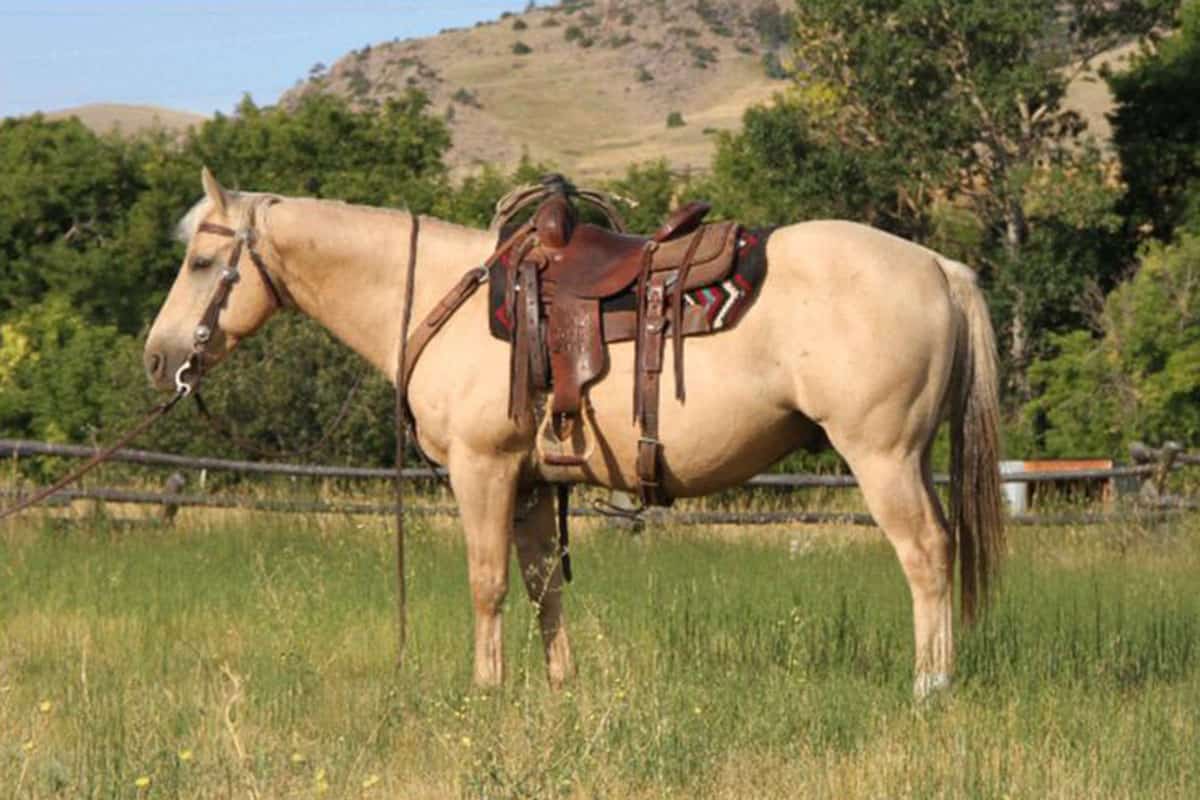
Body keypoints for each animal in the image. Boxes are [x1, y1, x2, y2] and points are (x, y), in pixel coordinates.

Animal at [144, 168, 1003, 699]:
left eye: (201, 263)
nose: (158, 358)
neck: (440, 298)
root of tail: (940, 267)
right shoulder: (531, 484)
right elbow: (541, 588)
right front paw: (562, 688)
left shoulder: (483, 470)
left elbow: (486, 583)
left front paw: (485, 691)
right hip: (911, 457)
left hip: (882, 456)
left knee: (926, 553)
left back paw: (931, 686)